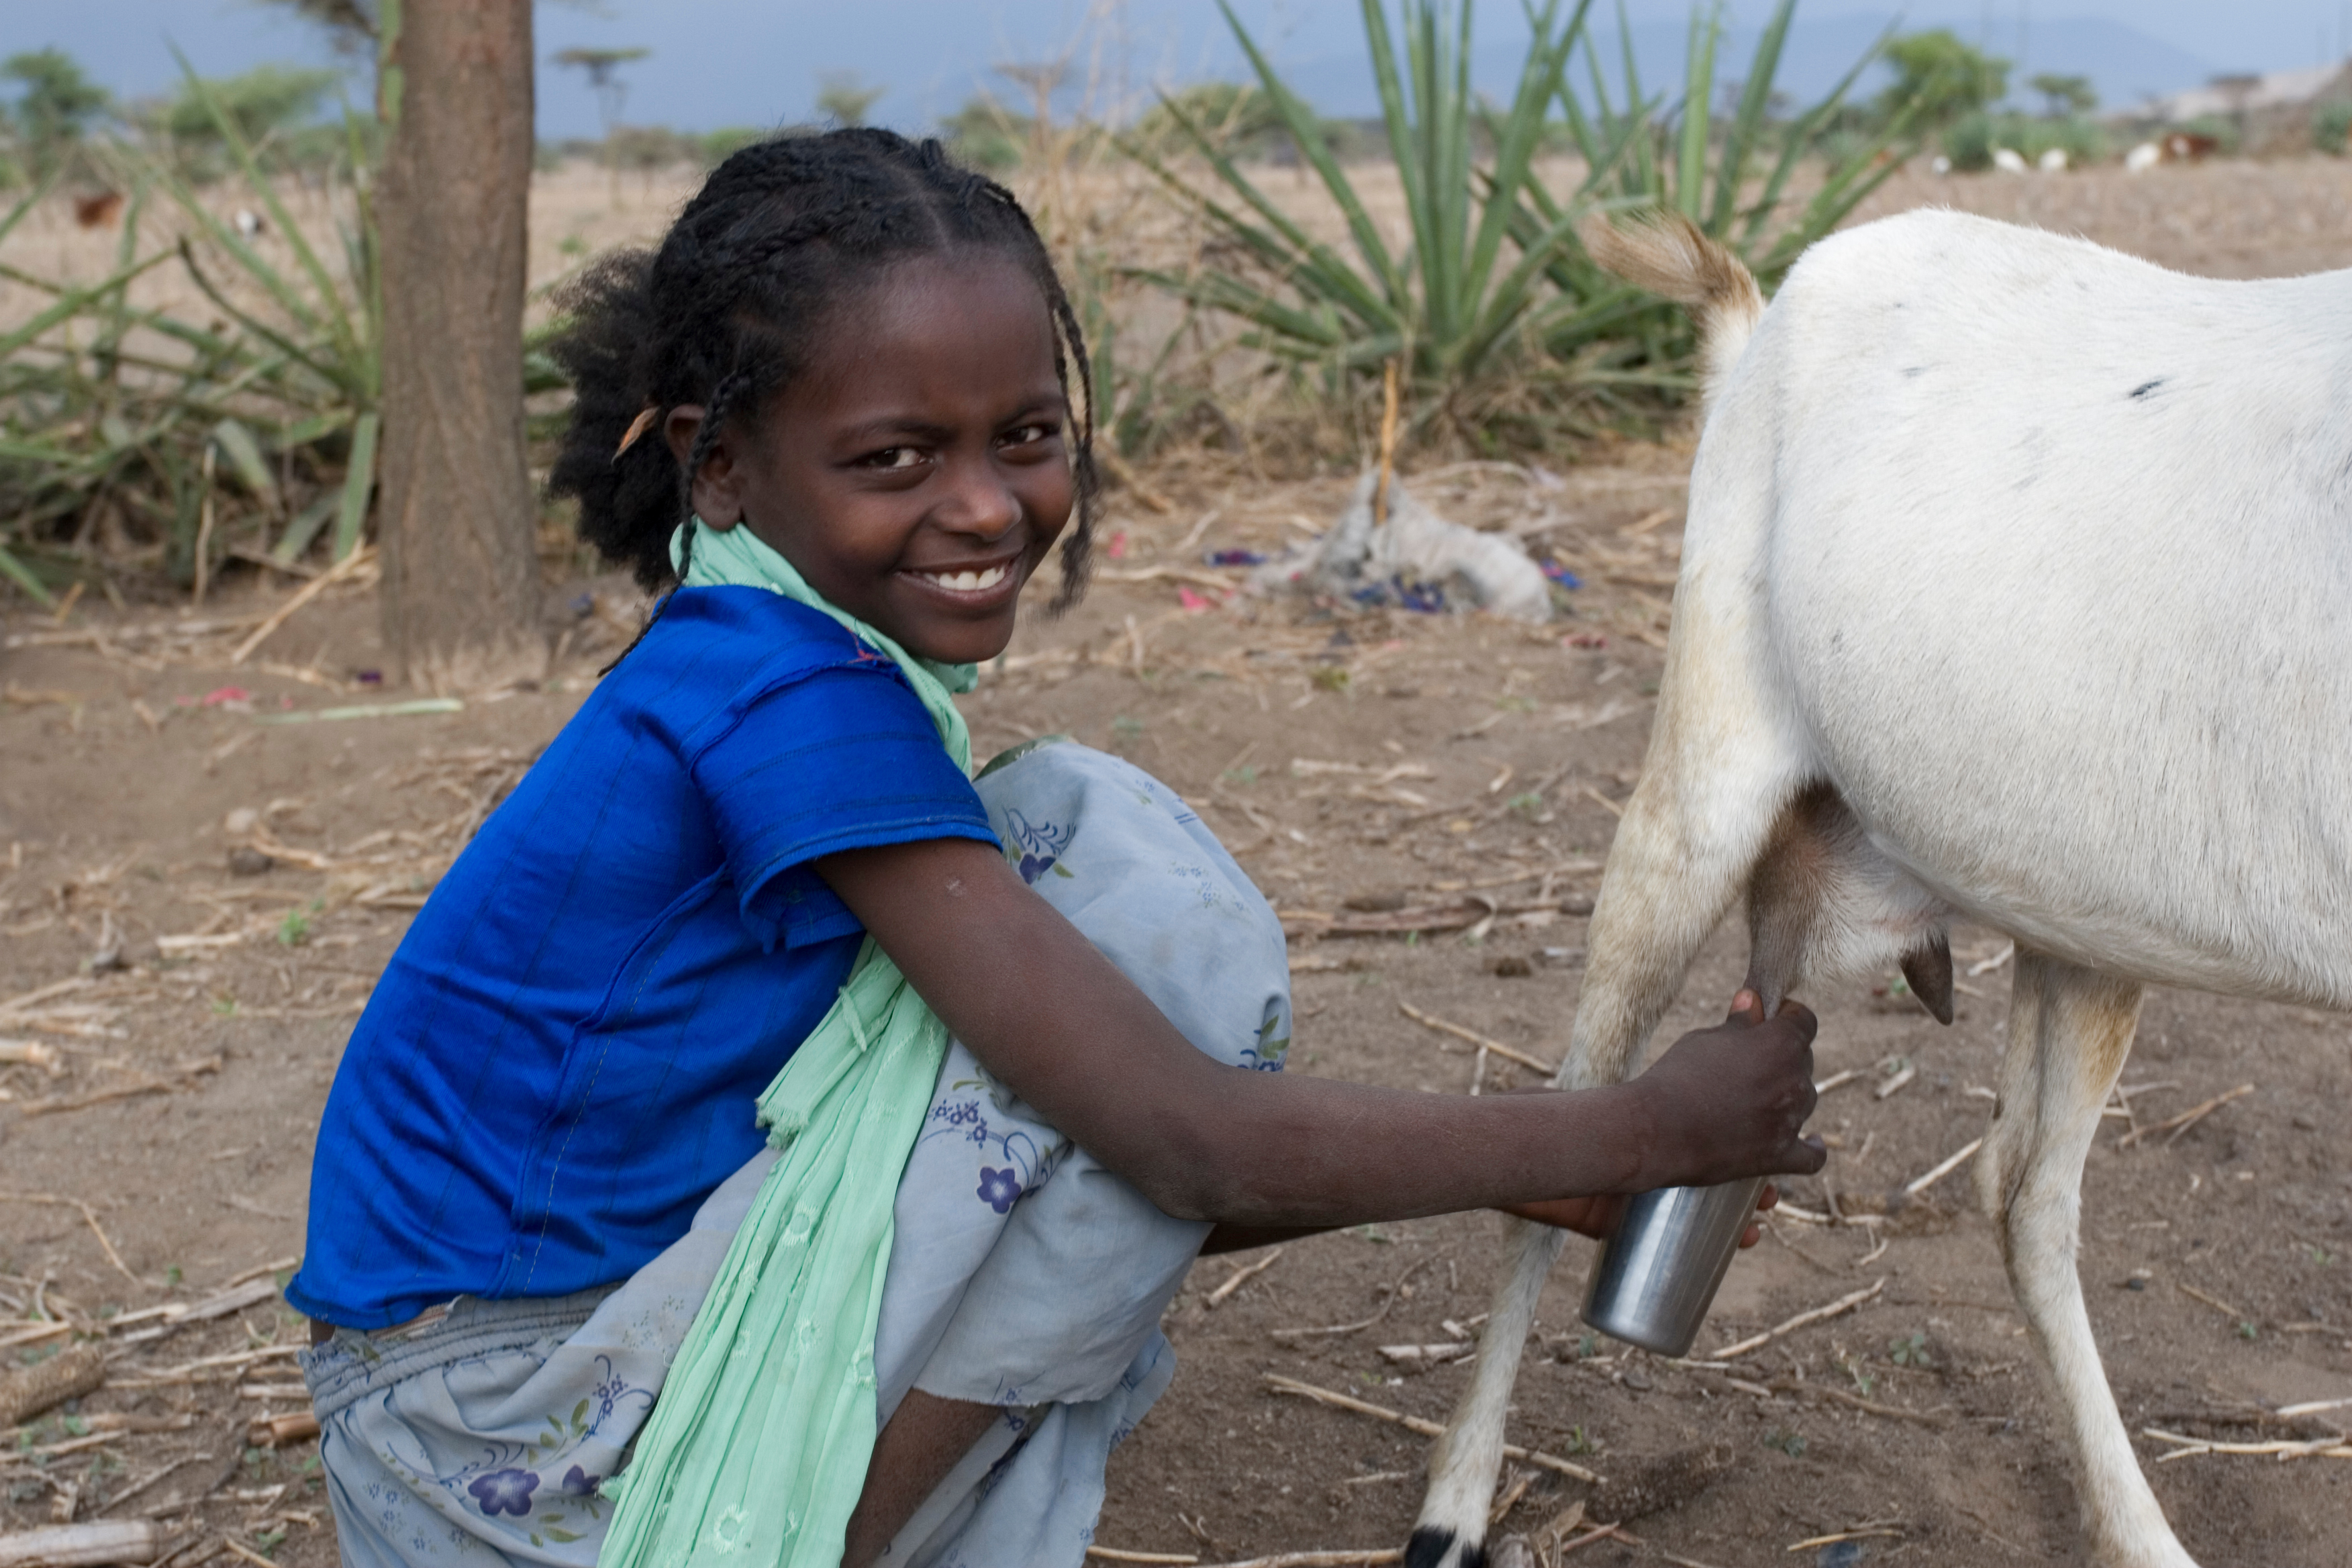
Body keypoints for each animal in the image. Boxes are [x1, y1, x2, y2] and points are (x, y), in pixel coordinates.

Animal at [1405, 208, 2351, 1568]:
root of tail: (1761, 317)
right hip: (1694, 795)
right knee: (1566, 1133)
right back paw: (1453, 1508)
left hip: (2085, 918)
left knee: (2022, 1194)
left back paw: (2138, 1533)